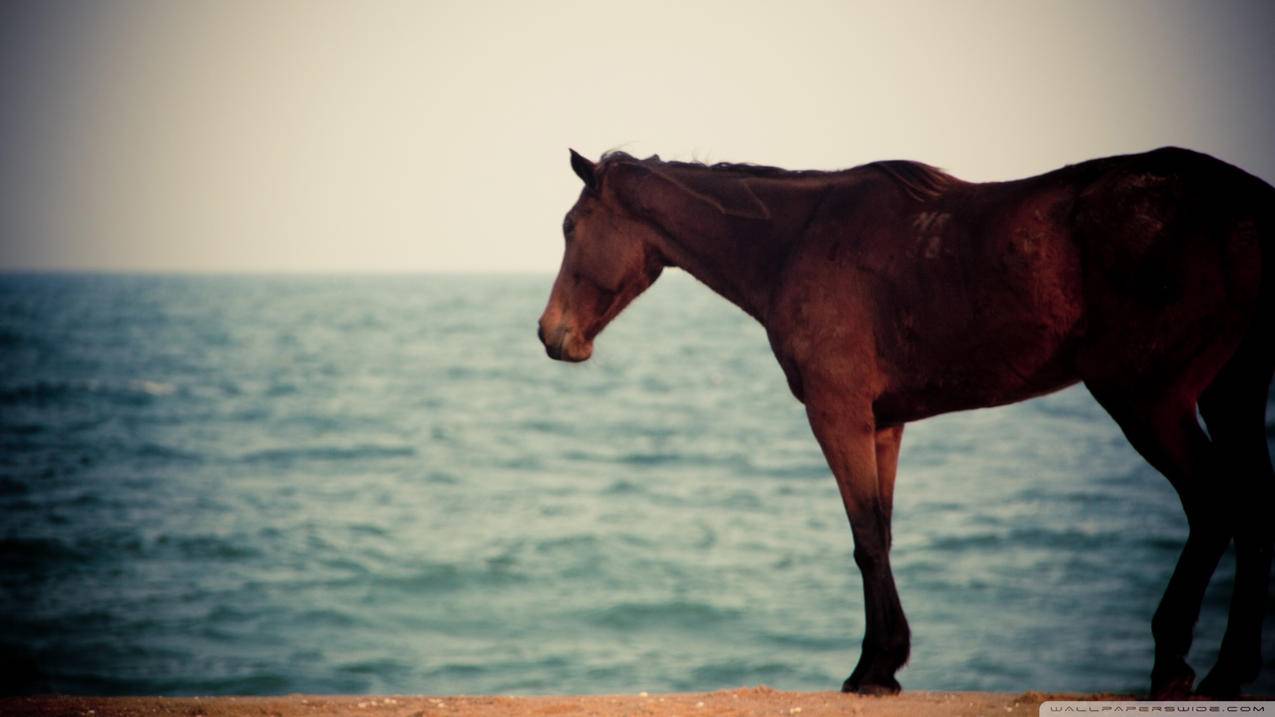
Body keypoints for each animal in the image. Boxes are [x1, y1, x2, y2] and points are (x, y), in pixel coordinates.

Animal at [532, 146, 1269, 699]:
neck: (794, 239)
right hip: (1229, 392)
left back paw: (1173, 662)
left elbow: (864, 537)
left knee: (1213, 503)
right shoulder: (883, 423)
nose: (550, 334)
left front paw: (872, 668)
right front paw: (885, 660)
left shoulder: (837, 413)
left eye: (570, 227)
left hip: (1148, 399)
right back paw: (1228, 671)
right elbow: (881, 531)